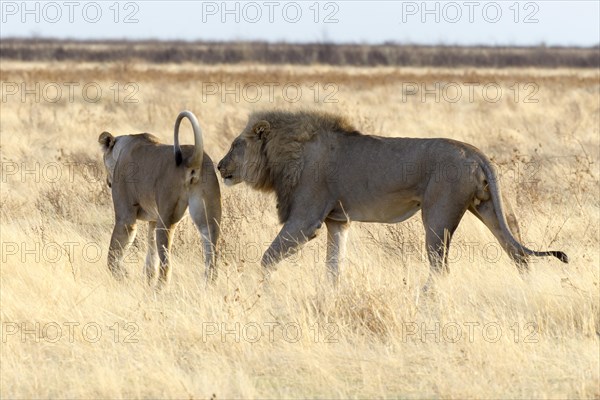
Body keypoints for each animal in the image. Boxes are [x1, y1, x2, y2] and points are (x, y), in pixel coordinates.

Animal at [98, 111, 220, 288]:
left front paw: (123, 276)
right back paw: (208, 285)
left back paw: (160, 288)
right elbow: (151, 255)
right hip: (208, 216)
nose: (108, 182)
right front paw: (146, 279)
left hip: (167, 217)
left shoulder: (126, 217)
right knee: (211, 250)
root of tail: (192, 158)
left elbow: (113, 253)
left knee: (166, 261)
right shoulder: (153, 219)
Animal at [218, 109, 568, 284]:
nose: (220, 166)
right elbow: (334, 266)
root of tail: (474, 152)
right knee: (517, 252)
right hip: (489, 208)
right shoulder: (337, 221)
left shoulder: (306, 219)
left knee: (441, 267)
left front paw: (260, 290)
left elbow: (267, 258)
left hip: (438, 215)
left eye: (236, 144)